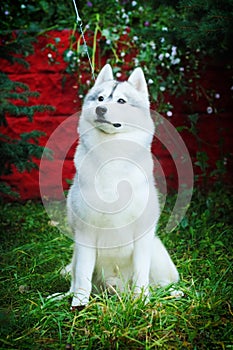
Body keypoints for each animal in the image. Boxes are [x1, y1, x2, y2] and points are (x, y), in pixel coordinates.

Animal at [64, 64, 179, 308]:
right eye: (100, 98)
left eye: (121, 101)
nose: (100, 109)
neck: (111, 152)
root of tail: (116, 290)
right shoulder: (85, 234)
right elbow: (83, 275)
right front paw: (79, 304)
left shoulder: (143, 235)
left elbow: (141, 273)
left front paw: (142, 300)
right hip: (77, 252)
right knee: (76, 278)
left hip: (156, 250)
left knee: (163, 283)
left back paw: (170, 294)